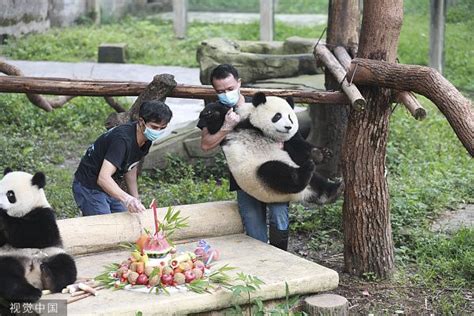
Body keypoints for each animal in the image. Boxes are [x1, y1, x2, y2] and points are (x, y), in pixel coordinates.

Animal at [0, 169, 77, 302]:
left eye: (10, 195)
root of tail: (32, 274)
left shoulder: (45, 214)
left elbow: (35, 234)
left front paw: (2, 216)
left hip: (51, 254)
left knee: (66, 265)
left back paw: (48, 277)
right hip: (7, 257)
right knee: (7, 276)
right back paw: (29, 292)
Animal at [199, 92, 340, 204]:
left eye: (290, 118)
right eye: (277, 116)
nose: (288, 127)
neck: (259, 129)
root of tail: (301, 194)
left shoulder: (288, 141)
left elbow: (298, 148)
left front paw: (321, 154)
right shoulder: (235, 123)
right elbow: (217, 124)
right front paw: (209, 113)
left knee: (317, 181)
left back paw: (333, 191)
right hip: (258, 176)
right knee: (274, 172)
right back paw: (303, 174)